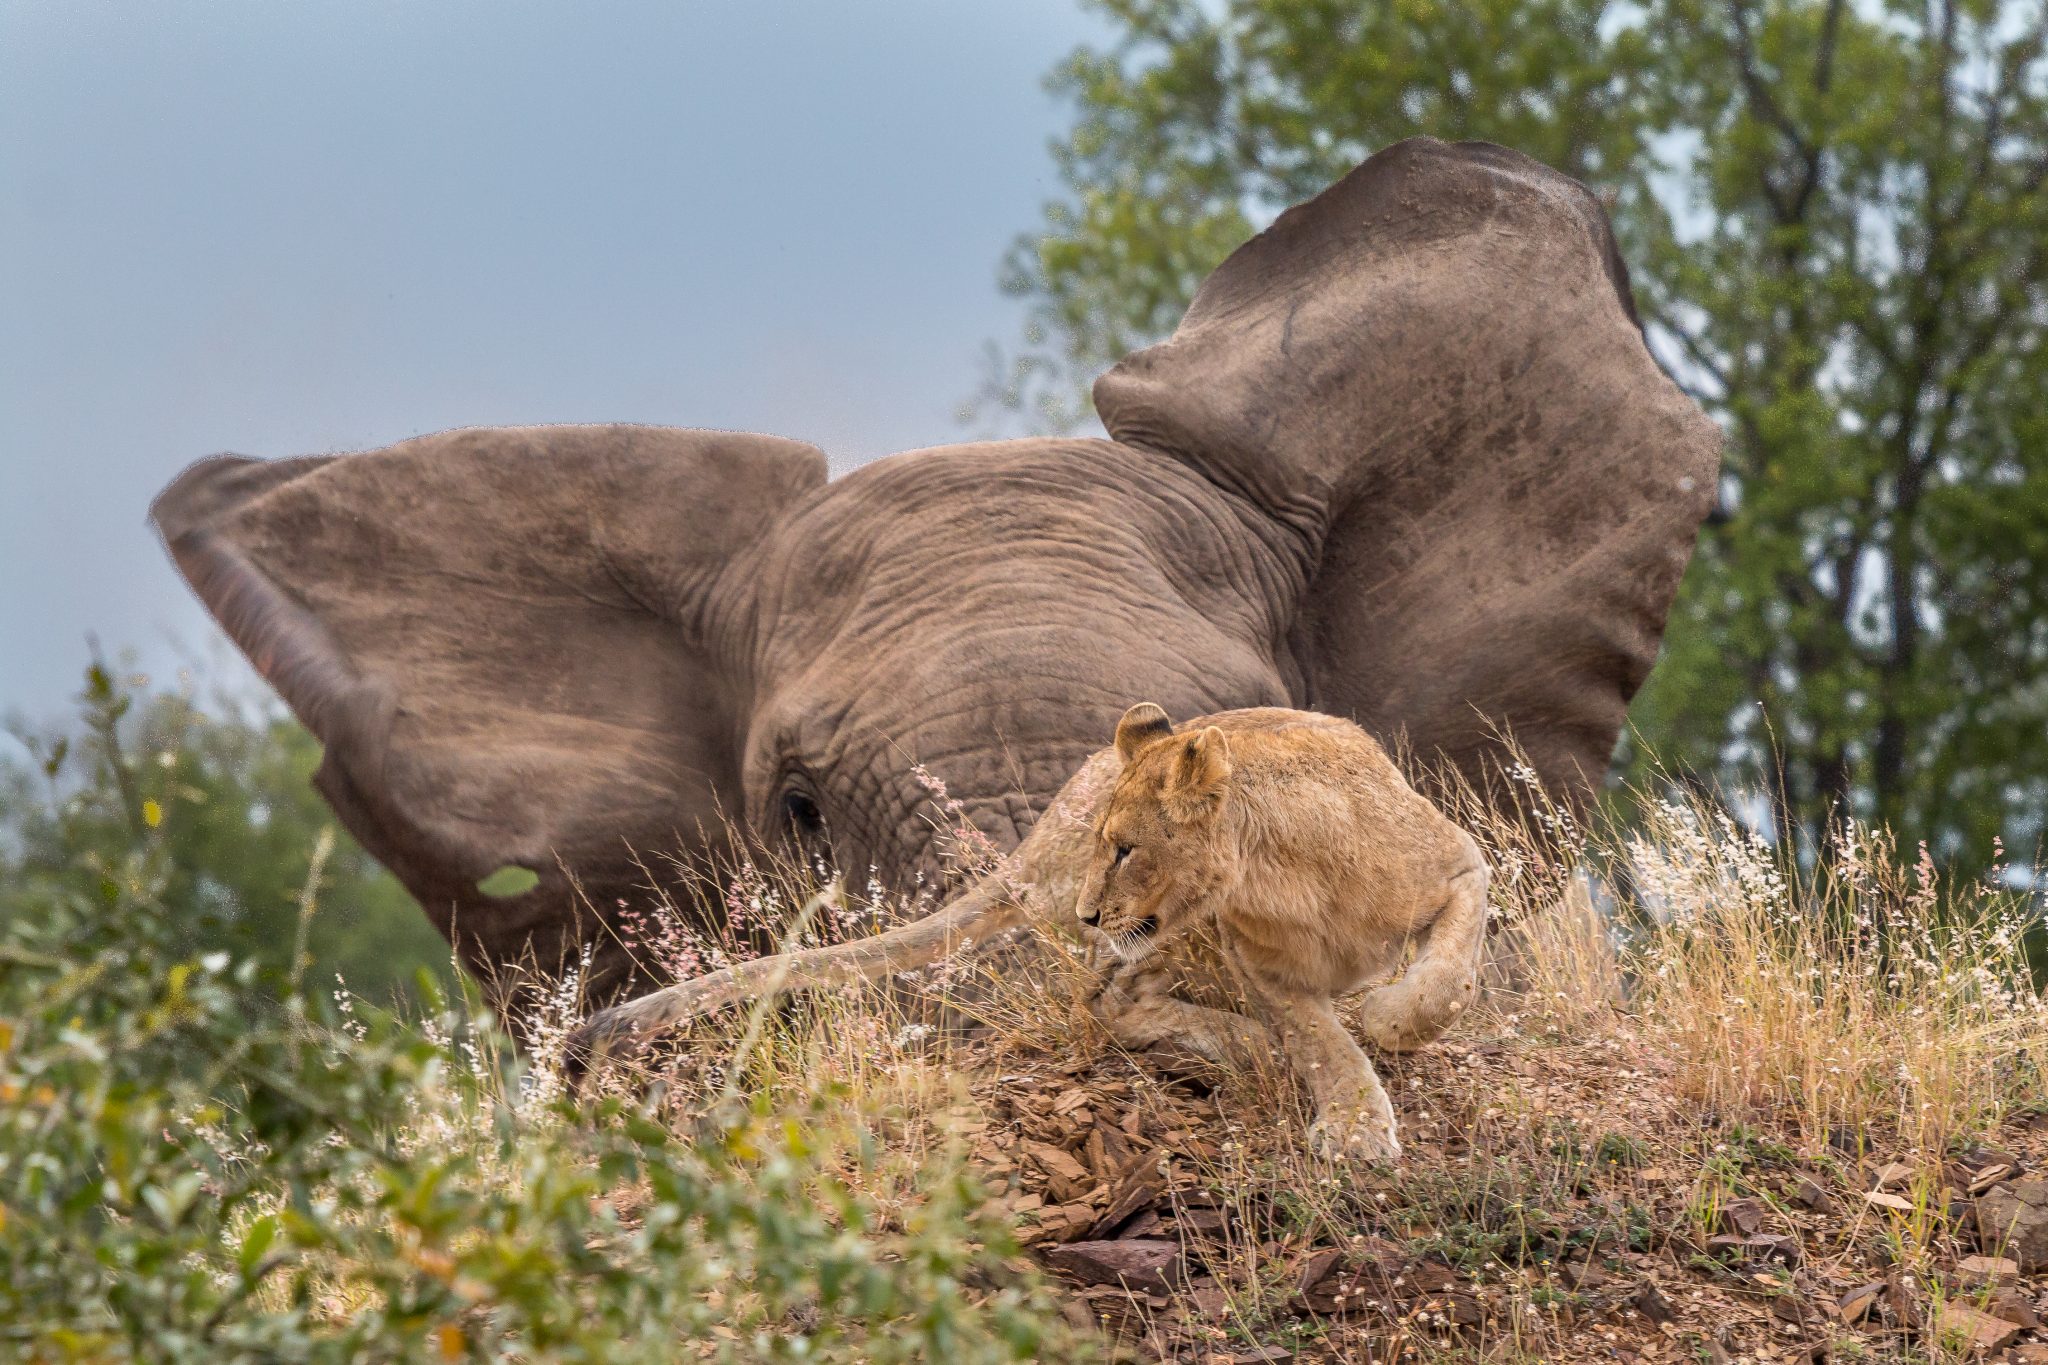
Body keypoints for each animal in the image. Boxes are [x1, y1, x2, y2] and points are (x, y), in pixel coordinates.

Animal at [566, 704, 1489, 1162]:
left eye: (1127, 848)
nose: (1087, 909)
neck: (1281, 876)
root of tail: (1064, 796)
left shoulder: (1460, 862)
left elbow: (1446, 978)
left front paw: (1390, 1017)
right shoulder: (1261, 963)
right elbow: (1322, 1041)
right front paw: (1356, 1122)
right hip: (1160, 942)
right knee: (1109, 1004)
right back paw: (1244, 1042)